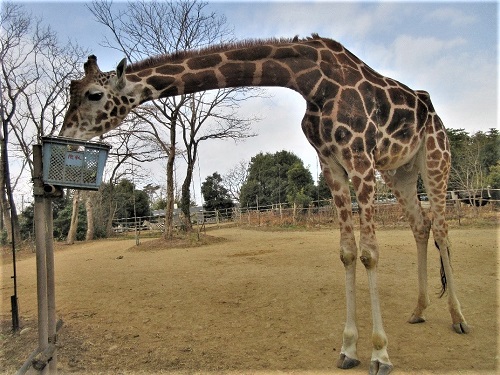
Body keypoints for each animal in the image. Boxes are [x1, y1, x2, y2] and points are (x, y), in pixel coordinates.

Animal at [59, 33, 468, 374]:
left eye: (94, 95)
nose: (65, 133)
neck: (311, 81)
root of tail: (433, 114)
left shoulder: (358, 157)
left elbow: (369, 254)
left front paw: (380, 354)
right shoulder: (331, 163)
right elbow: (347, 252)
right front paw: (348, 349)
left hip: (435, 158)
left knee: (442, 229)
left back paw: (458, 318)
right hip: (399, 172)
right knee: (421, 226)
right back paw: (418, 311)